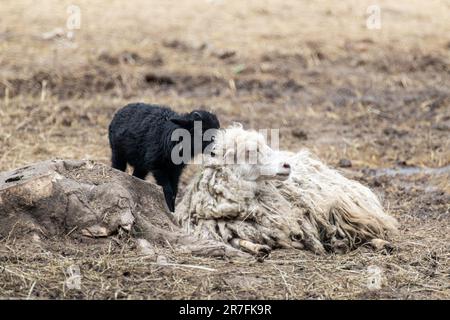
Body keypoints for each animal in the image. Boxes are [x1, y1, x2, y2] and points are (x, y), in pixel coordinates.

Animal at [174, 124, 400, 255]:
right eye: (249, 152)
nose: (286, 165)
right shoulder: (222, 231)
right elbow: (237, 241)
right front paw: (259, 248)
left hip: (344, 208)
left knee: (364, 230)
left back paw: (375, 243)